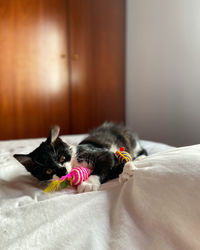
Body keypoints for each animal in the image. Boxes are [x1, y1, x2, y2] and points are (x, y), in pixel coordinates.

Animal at [14, 122, 147, 192]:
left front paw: (89, 183)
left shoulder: (102, 153)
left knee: (142, 150)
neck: (74, 162)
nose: (62, 171)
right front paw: (124, 170)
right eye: (48, 170)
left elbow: (105, 164)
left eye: (62, 158)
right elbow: (111, 170)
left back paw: (140, 158)